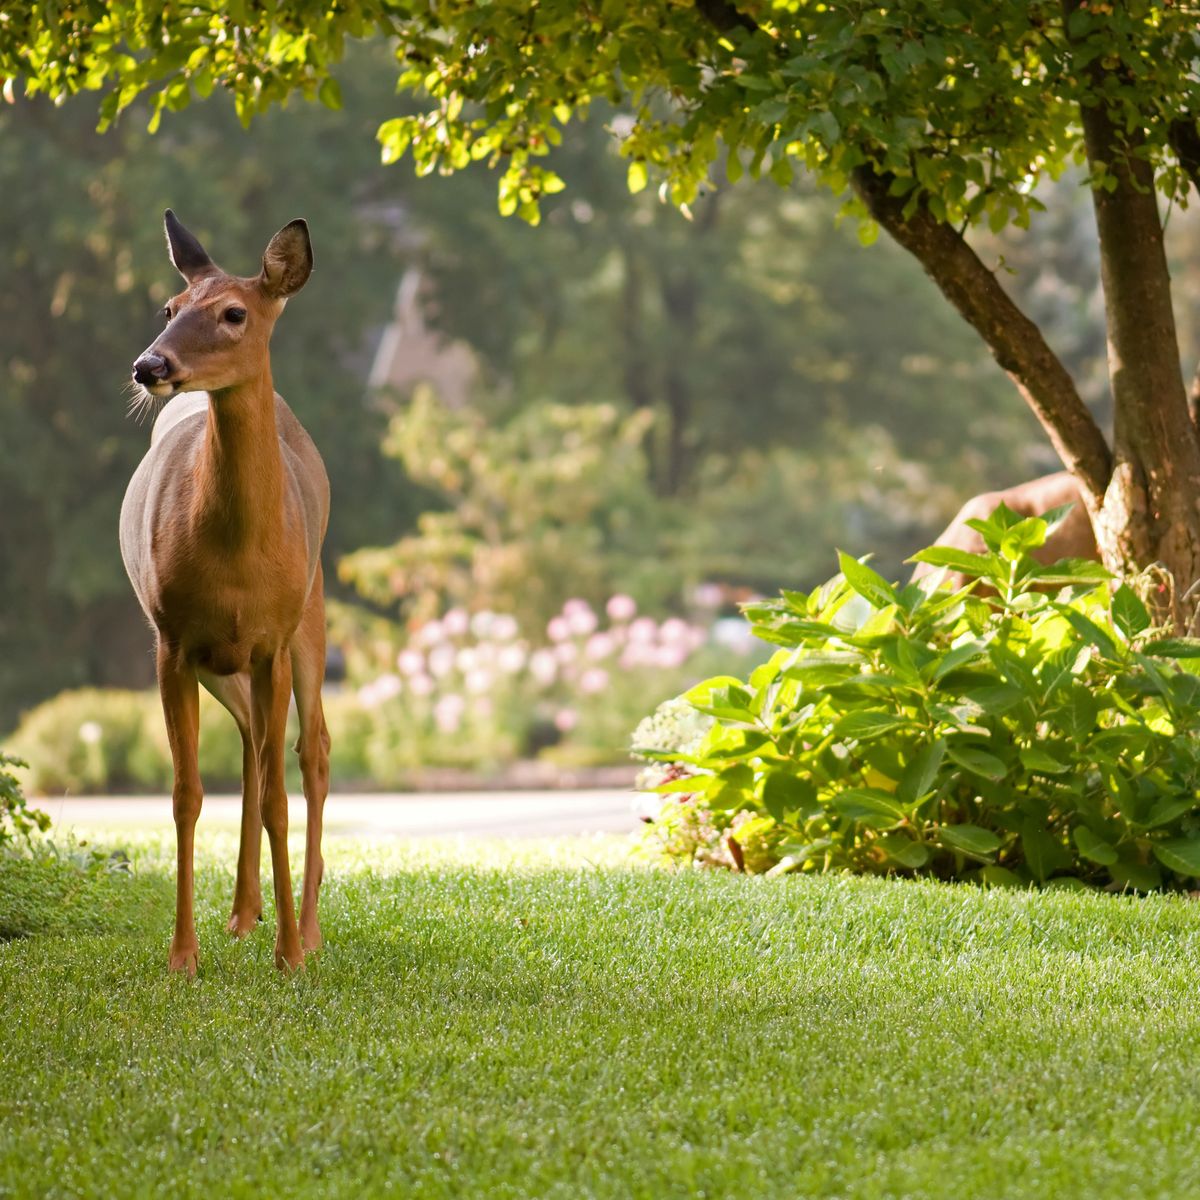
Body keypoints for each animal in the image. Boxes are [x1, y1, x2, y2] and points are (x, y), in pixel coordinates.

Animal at [119, 211, 331, 969]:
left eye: (235, 313)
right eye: (170, 308)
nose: (149, 366)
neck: (238, 556)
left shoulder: (273, 638)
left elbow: (278, 797)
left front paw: (290, 957)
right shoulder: (170, 641)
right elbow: (185, 794)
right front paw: (183, 955)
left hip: (311, 616)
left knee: (311, 751)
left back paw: (308, 928)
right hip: (219, 660)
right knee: (249, 745)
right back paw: (244, 913)